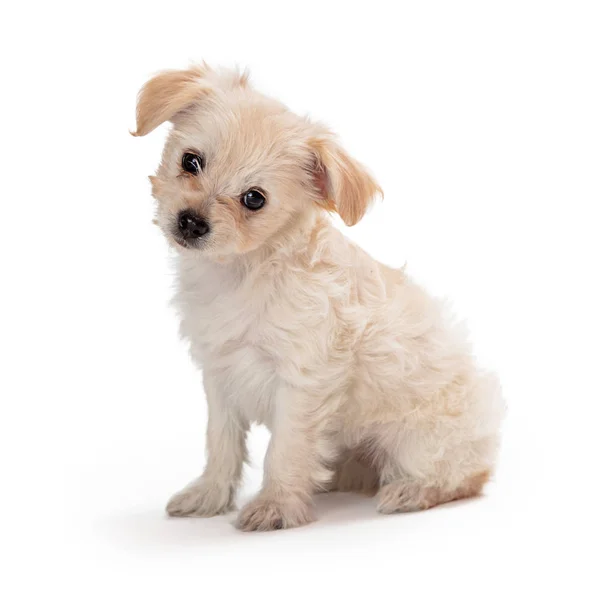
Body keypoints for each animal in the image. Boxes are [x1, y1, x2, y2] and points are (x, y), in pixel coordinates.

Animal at [134, 63, 504, 528]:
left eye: (254, 199)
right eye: (190, 161)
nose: (191, 222)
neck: (242, 272)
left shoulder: (303, 383)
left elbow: (284, 450)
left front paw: (275, 506)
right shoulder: (220, 377)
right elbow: (222, 443)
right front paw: (209, 496)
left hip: (422, 440)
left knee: (463, 476)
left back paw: (409, 491)